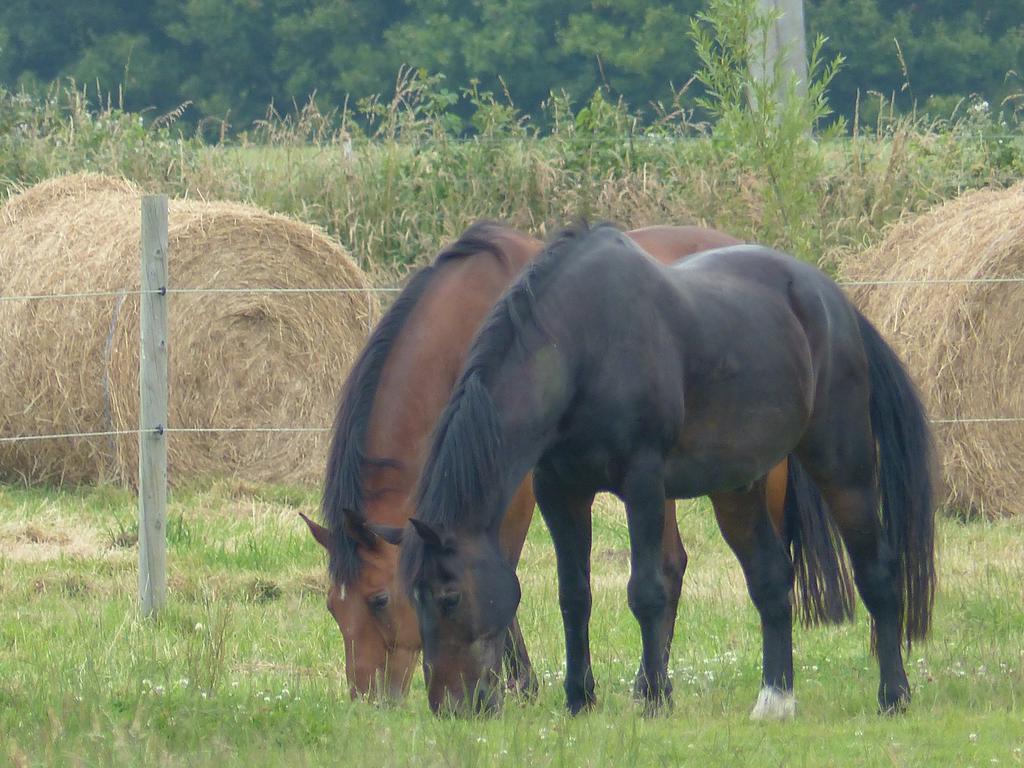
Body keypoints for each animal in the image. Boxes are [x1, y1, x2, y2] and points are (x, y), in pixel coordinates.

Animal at [299, 222, 819, 704]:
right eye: (331, 608)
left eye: (380, 599)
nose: (369, 699)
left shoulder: (516, 492)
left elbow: (504, 570)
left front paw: (518, 683)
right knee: (674, 564)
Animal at [387, 225, 933, 720]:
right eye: (410, 599)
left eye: (450, 597)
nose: (450, 707)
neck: (582, 346)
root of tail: (834, 302)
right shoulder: (560, 491)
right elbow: (573, 595)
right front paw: (579, 699)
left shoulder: (643, 482)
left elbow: (647, 590)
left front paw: (653, 697)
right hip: (737, 489)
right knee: (771, 579)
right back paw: (775, 700)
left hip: (843, 467)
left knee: (877, 572)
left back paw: (894, 695)